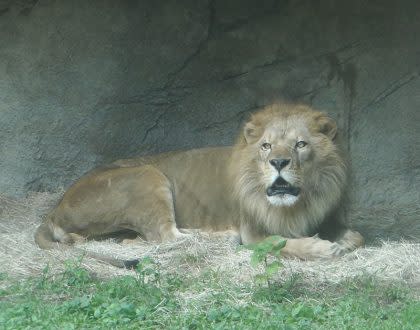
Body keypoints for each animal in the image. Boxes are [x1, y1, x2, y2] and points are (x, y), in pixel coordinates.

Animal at [35, 104, 364, 268]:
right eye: (266, 146)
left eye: (300, 144)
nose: (279, 163)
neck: (299, 203)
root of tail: (54, 208)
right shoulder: (254, 233)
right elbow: (280, 242)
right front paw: (322, 248)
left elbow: (357, 236)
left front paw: (343, 242)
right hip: (148, 174)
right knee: (167, 234)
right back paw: (222, 237)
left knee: (145, 238)